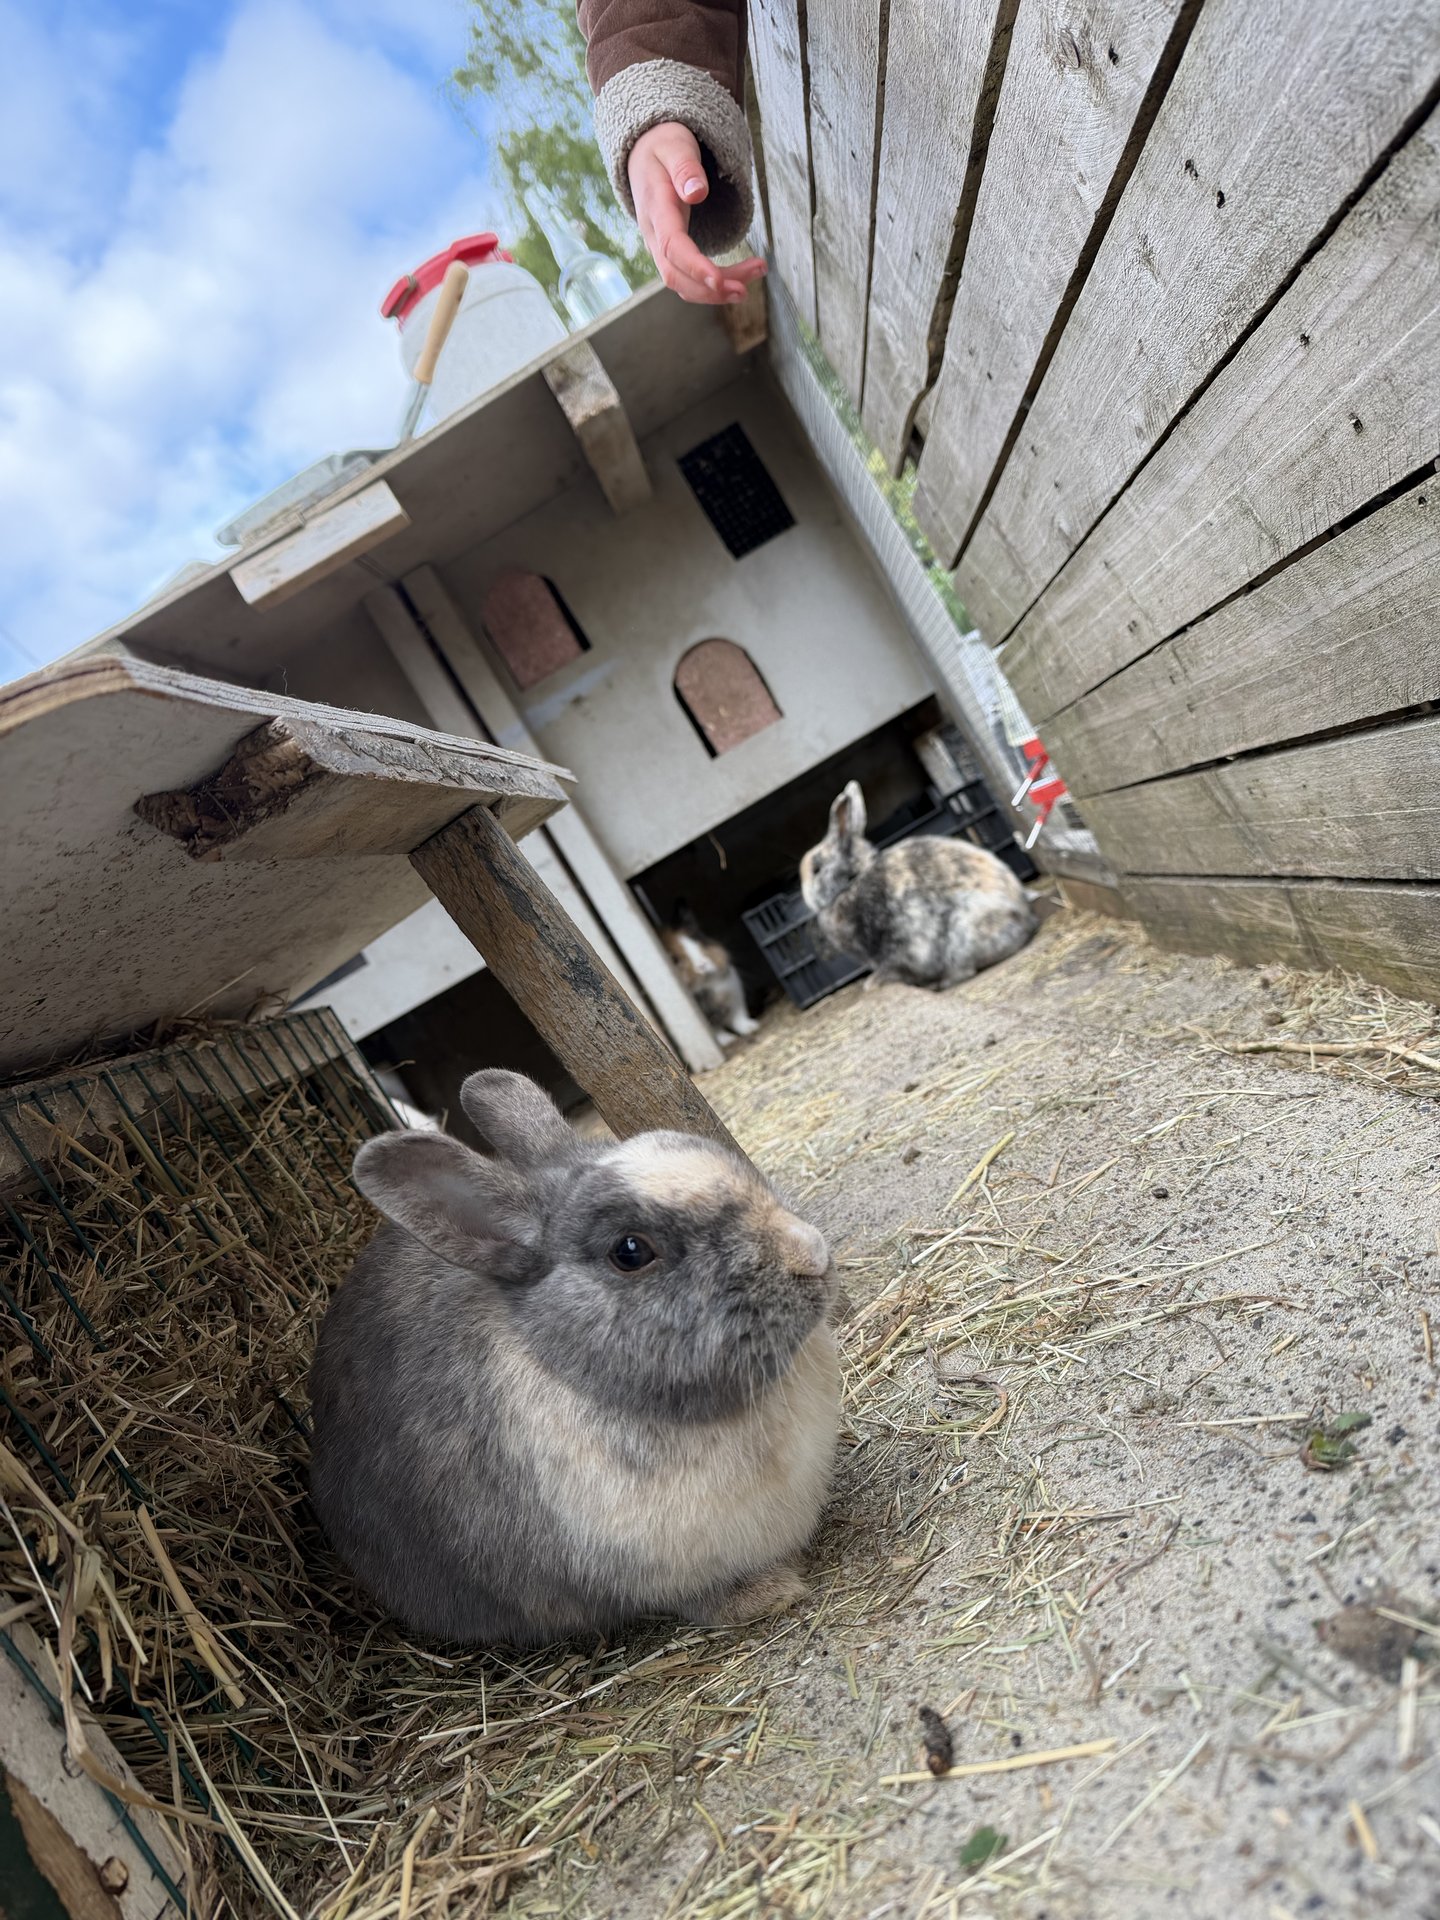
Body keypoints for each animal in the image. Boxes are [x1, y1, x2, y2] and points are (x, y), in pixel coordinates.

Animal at [661, 903, 758, 1047]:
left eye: (697, 938)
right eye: (674, 960)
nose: (702, 964)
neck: (708, 983)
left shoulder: (735, 996)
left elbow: (738, 1017)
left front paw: (752, 1027)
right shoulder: (708, 1017)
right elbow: (716, 1030)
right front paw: (728, 1040)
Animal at [799, 780, 1035, 990]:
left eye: (816, 869)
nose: (804, 890)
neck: (850, 883)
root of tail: (1024, 917)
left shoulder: (893, 947)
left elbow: (891, 966)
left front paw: (873, 983)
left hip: (960, 940)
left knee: (965, 970)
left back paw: (939, 982)